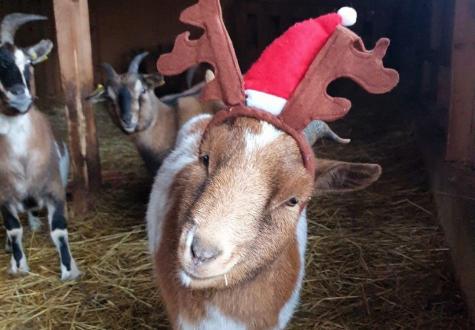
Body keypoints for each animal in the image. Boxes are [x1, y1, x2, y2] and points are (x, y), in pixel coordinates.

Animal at [0, 13, 80, 282]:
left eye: (27, 63)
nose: (19, 95)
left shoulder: (55, 190)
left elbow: (59, 231)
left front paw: (69, 270)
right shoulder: (4, 198)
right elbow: (14, 230)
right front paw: (19, 265)